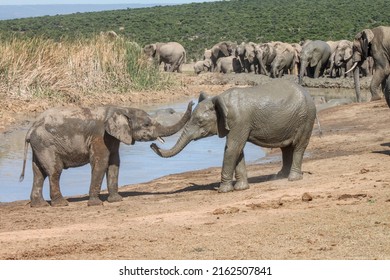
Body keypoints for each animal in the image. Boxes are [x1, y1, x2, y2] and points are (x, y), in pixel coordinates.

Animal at [19, 101, 193, 207]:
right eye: (146, 124)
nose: (192, 102)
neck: (121, 109)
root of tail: (31, 128)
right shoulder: (100, 136)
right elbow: (101, 163)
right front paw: (96, 204)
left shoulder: (112, 138)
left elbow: (114, 163)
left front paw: (116, 201)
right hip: (46, 144)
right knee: (54, 171)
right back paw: (62, 204)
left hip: (39, 145)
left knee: (39, 172)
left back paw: (40, 205)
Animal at [150, 79, 316, 192]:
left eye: (200, 121)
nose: (153, 144)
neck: (221, 99)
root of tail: (308, 93)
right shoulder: (235, 124)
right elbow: (237, 150)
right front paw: (241, 188)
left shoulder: (240, 120)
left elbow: (232, 148)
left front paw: (223, 190)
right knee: (286, 148)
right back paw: (279, 176)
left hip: (306, 118)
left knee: (298, 146)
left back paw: (293, 178)